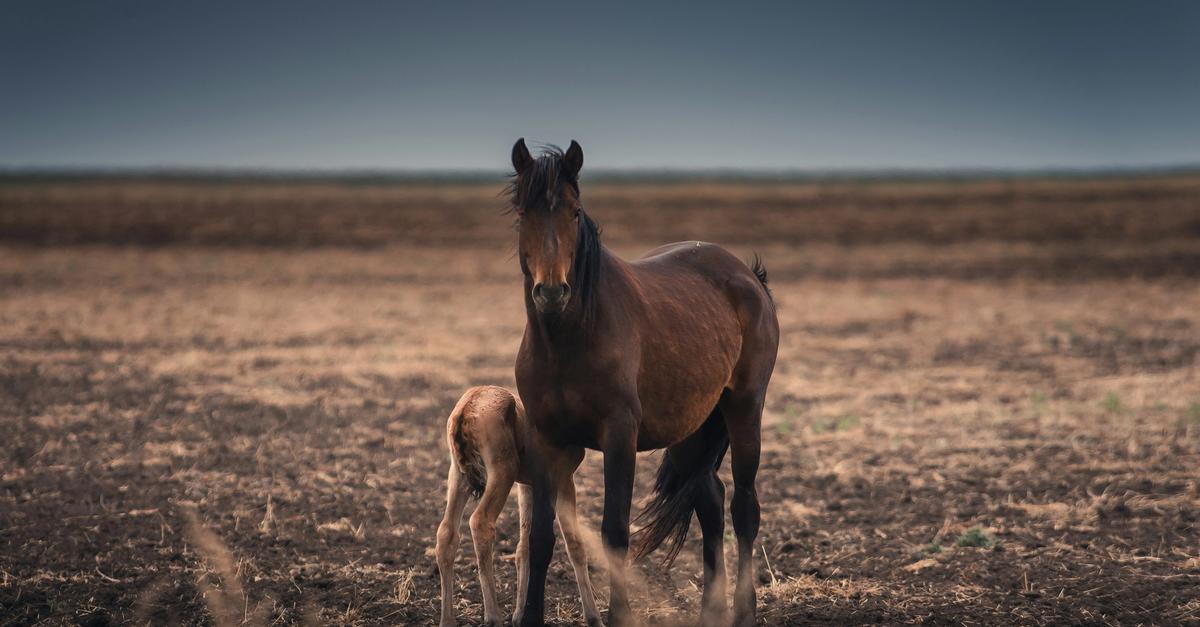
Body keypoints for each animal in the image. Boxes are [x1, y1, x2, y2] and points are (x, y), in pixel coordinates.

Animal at [435, 386, 602, 627]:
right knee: (480, 522)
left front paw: (519, 615)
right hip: (502, 473)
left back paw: (447, 620)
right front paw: (594, 617)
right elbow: (574, 544)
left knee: (446, 532)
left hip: (458, 477)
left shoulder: (528, 485)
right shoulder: (563, 479)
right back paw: (493, 617)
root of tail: (466, 407)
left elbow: (524, 546)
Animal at [507, 139, 779, 627]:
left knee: (744, 508)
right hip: (691, 428)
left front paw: (619, 616)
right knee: (711, 500)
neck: (567, 340)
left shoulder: (620, 436)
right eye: (523, 212)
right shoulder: (543, 437)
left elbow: (615, 532)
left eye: (575, 212)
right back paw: (710, 612)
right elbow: (539, 538)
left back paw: (743, 613)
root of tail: (749, 275)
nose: (552, 292)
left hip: (745, 409)